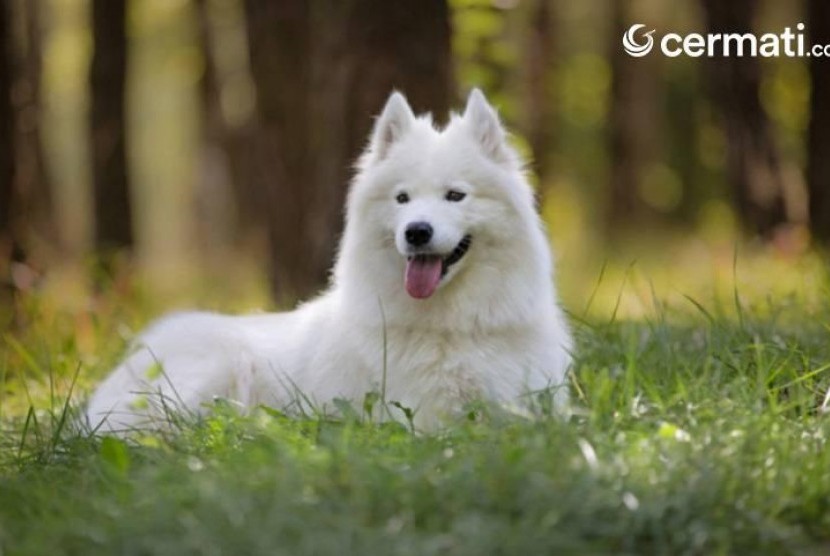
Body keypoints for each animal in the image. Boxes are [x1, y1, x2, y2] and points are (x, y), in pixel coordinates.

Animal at [88, 89, 576, 432]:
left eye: (455, 195)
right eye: (402, 199)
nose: (416, 231)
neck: (455, 326)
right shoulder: (424, 415)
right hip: (215, 370)